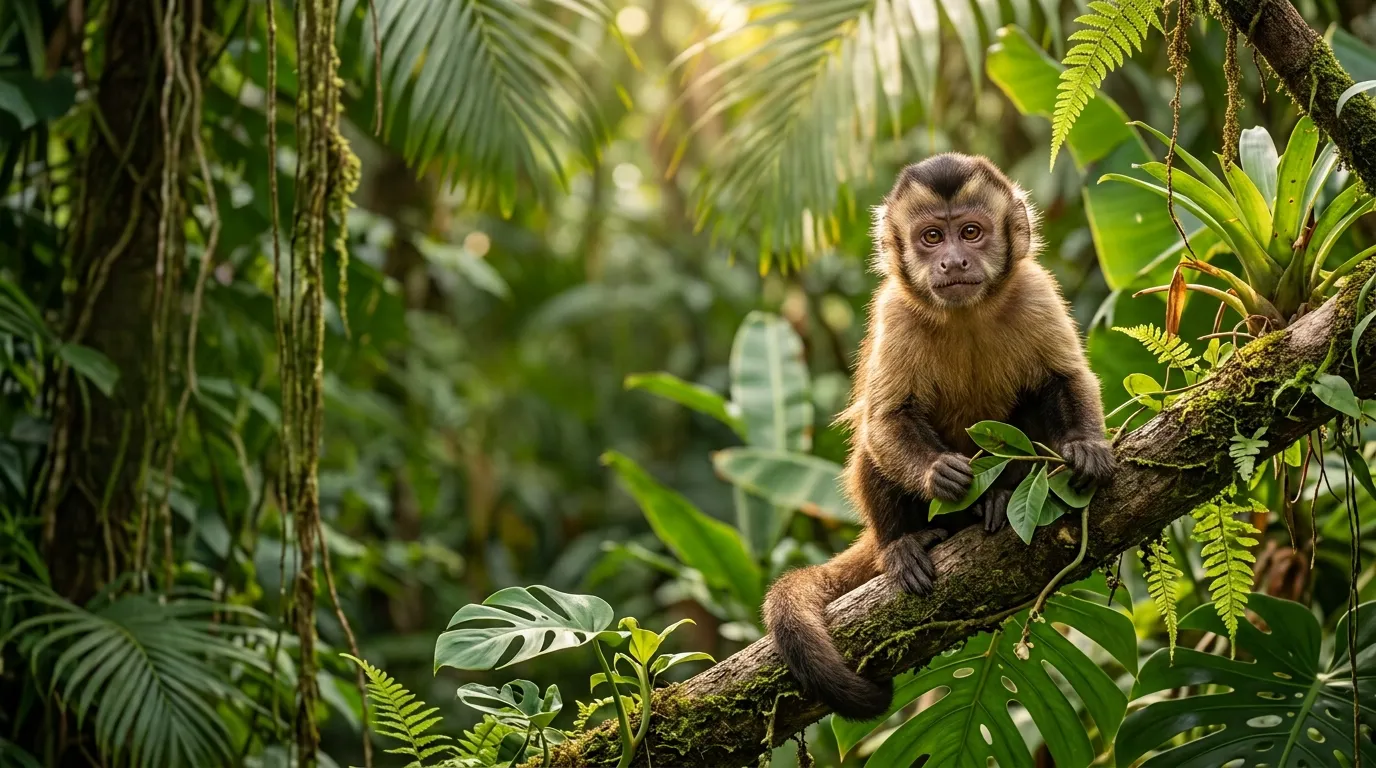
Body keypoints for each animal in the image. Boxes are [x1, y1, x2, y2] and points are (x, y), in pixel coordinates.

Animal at [762, 153, 1115, 720]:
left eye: (970, 232)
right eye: (931, 237)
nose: (952, 262)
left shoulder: (1036, 290)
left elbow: (1064, 379)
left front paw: (1085, 446)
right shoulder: (893, 311)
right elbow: (886, 419)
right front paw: (938, 474)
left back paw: (997, 500)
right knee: (871, 448)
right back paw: (902, 545)